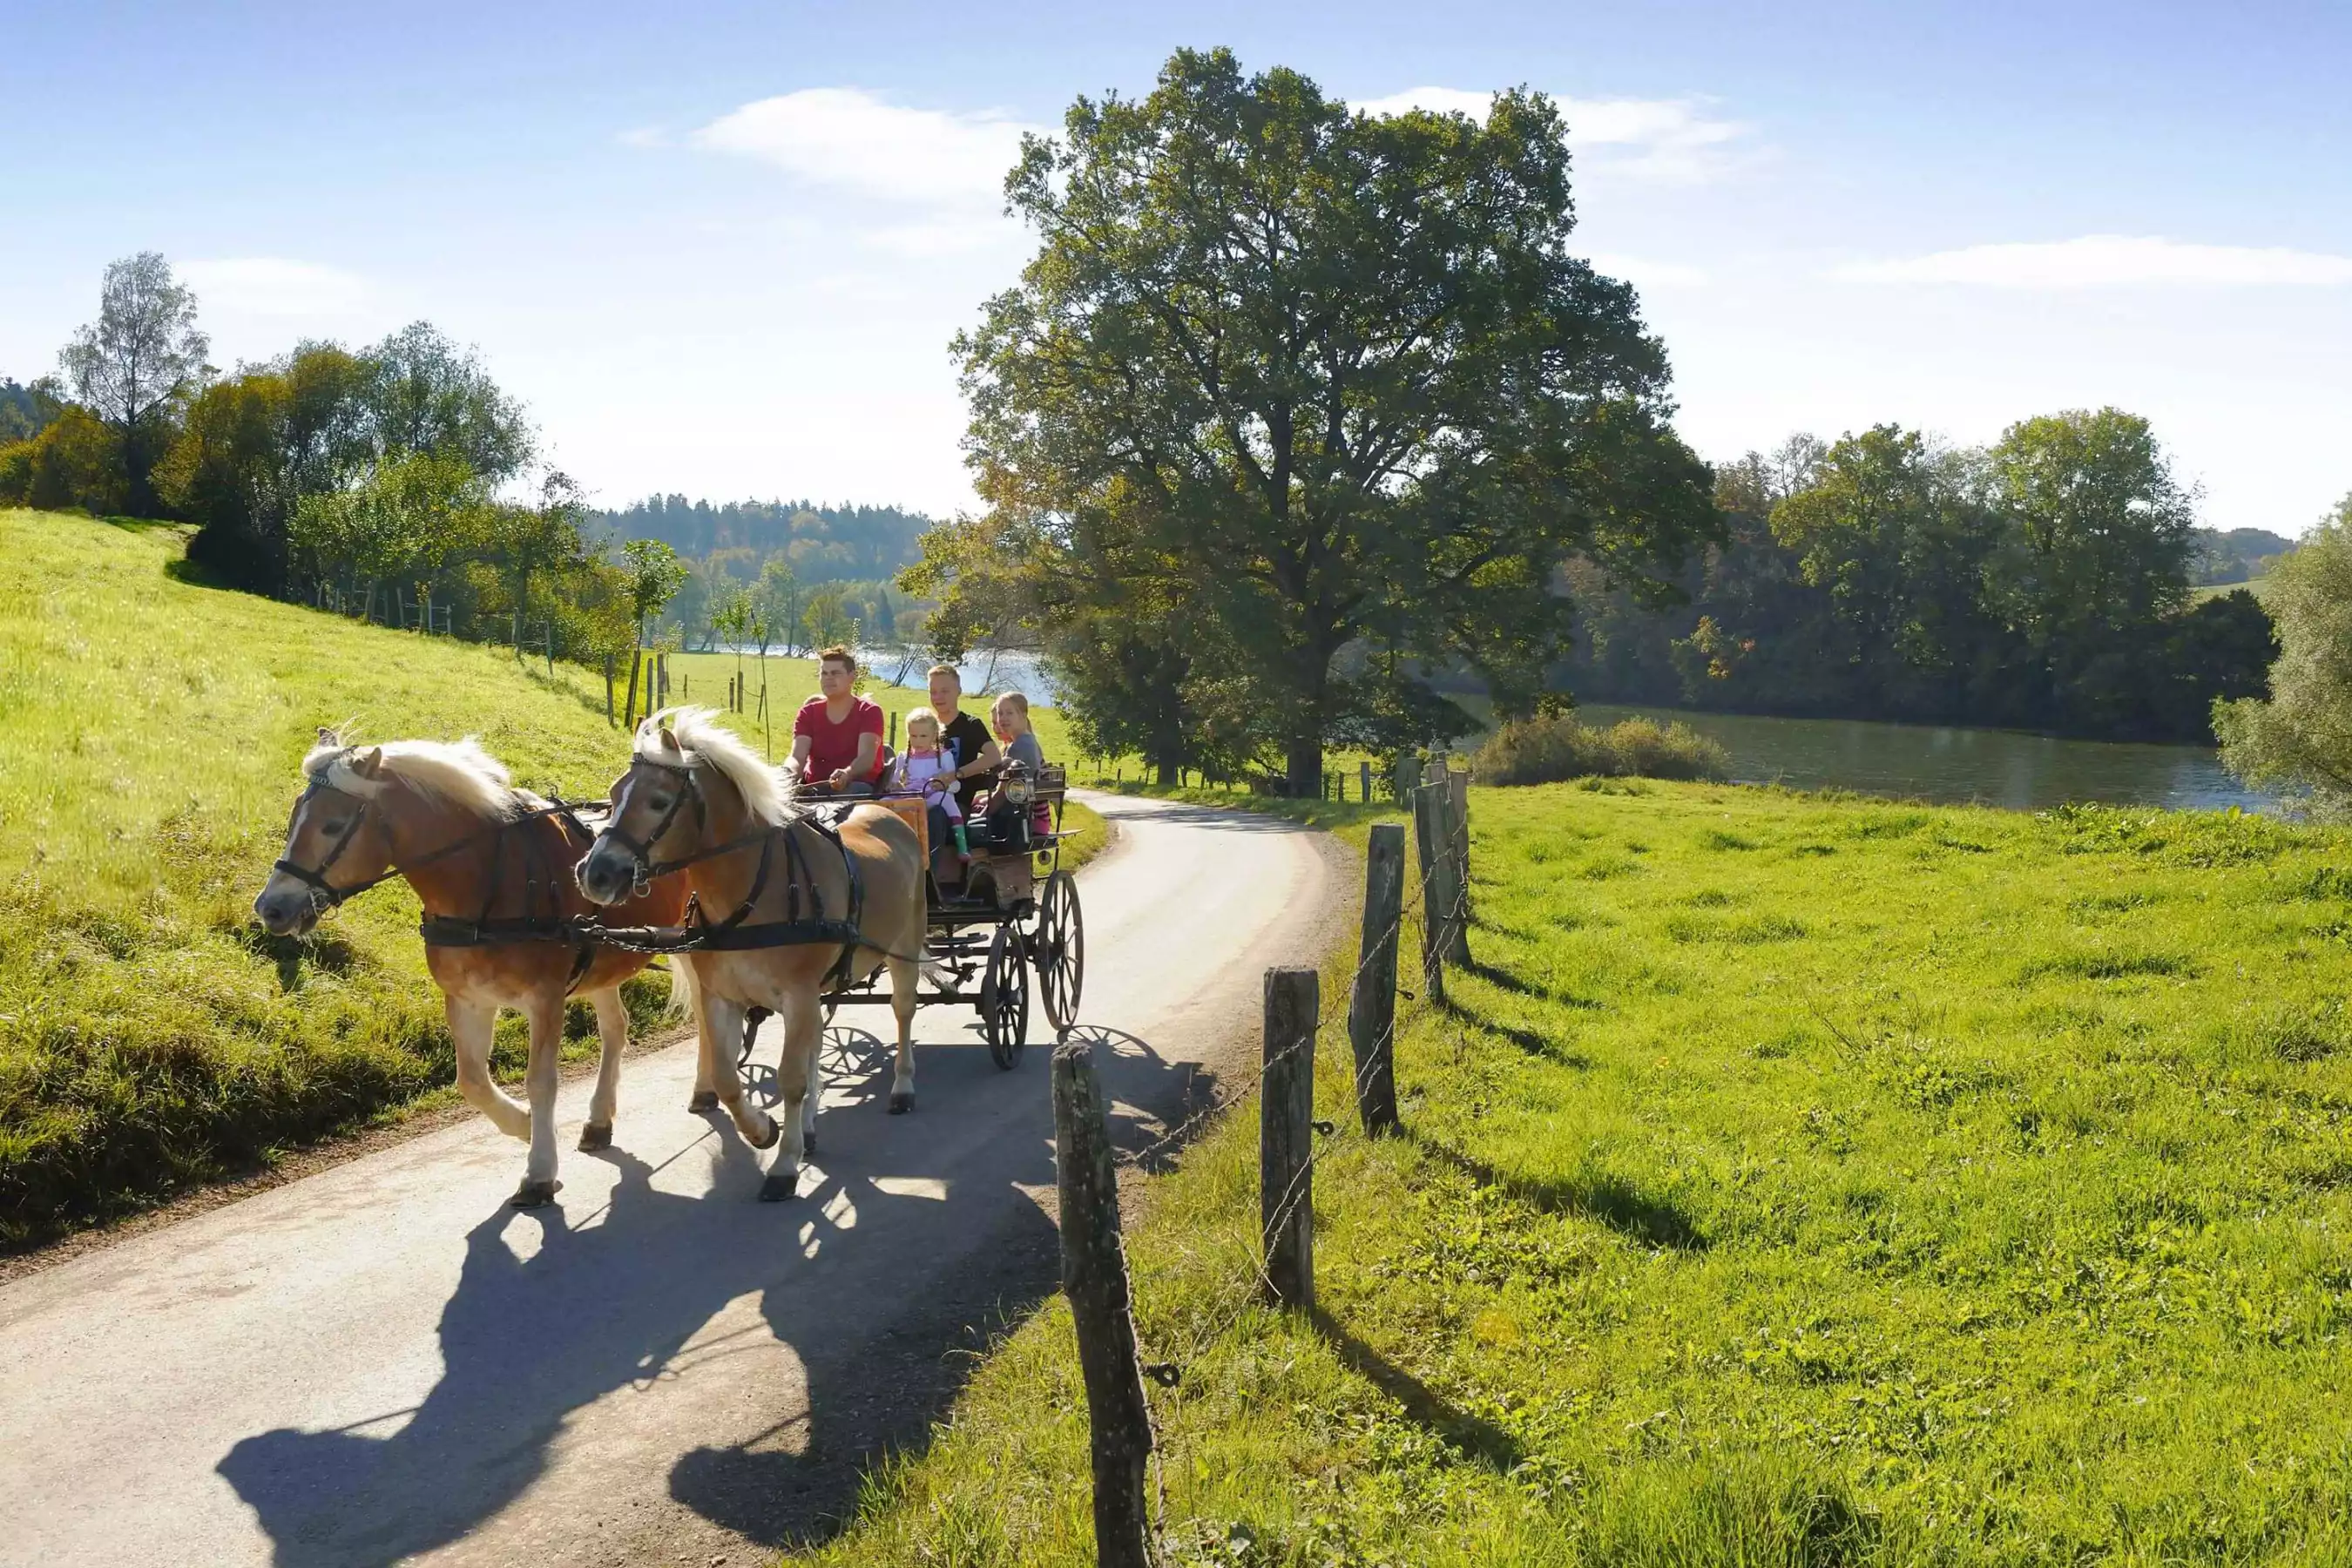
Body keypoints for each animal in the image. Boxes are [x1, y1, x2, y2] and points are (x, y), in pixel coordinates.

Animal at [260, 728, 696, 1213]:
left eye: (333, 826)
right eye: (296, 815)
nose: (271, 907)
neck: (488, 881)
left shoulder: (545, 999)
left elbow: (540, 1081)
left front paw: (539, 1170)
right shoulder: (469, 998)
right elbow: (471, 1080)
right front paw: (525, 1125)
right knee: (616, 1029)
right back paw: (600, 1120)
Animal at [571, 709, 926, 1203]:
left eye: (659, 802)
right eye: (614, 794)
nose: (595, 874)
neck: (755, 890)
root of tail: (889, 815)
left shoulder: (797, 996)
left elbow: (790, 1079)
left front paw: (783, 1165)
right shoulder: (725, 996)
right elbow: (726, 1078)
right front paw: (763, 1131)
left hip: (903, 949)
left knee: (903, 1010)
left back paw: (903, 1087)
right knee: (818, 1043)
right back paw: (809, 1129)